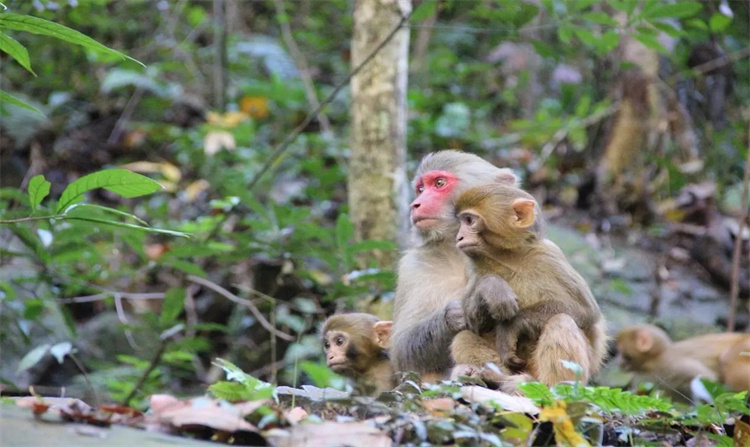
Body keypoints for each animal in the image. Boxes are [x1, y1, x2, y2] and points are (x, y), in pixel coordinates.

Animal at [390, 150, 520, 382]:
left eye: (439, 183)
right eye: (420, 189)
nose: (415, 204)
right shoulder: (412, 267)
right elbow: (401, 353)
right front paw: (455, 314)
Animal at [450, 184, 608, 390]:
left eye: (469, 220)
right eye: (462, 221)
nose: (459, 237)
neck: (507, 256)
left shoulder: (548, 256)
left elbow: (585, 311)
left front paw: (512, 326)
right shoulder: (472, 267)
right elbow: (473, 323)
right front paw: (493, 287)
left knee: (562, 321)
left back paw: (537, 386)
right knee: (463, 336)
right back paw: (490, 376)